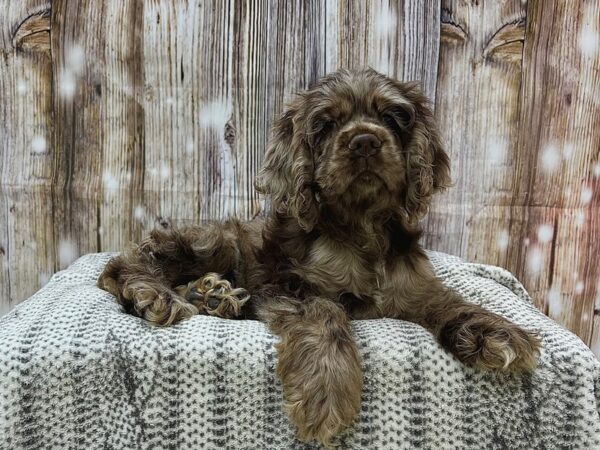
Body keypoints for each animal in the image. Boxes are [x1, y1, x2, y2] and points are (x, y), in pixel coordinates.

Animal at [97, 67, 540, 446]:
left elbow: (449, 301)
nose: (365, 141)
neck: (361, 226)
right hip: (215, 244)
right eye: (325, 124)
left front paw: (496, 331)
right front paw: (325, 391)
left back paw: (212, 295)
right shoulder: (286, 284)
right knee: (123, 264)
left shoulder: (414, 285)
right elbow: (325, 313)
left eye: (393, 116)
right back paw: (158, 295)